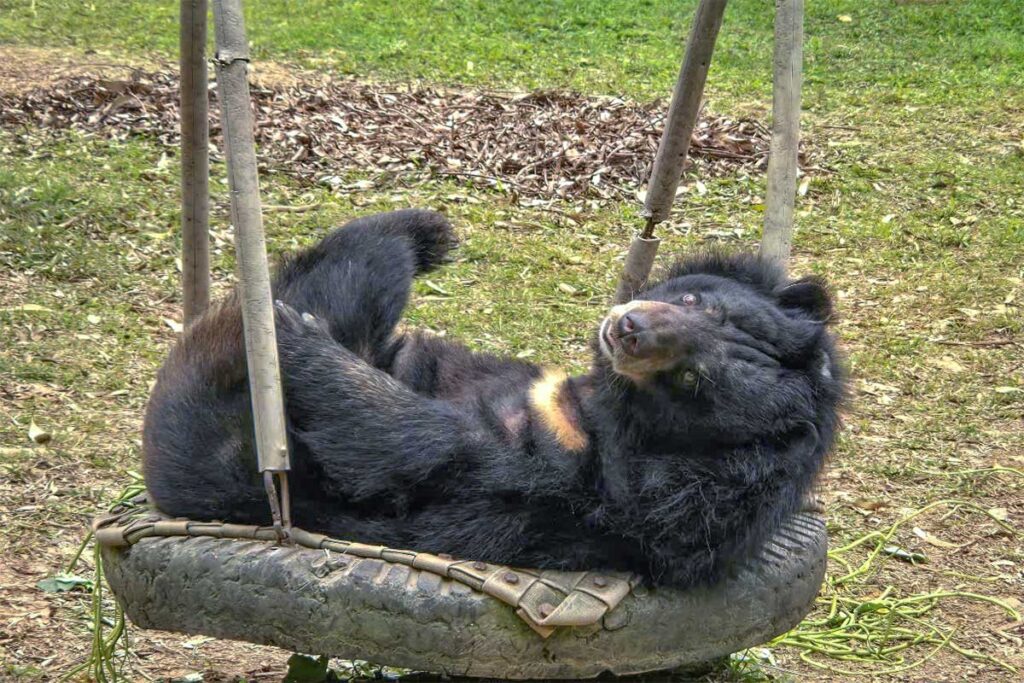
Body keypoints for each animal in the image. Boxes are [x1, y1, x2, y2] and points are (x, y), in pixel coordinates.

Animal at [142, 209, 844, 588]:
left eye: (691, 380)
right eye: (695, 300)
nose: (628, 328)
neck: (597, 406)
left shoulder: (581, 479)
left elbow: (404, 442)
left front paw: (296, 336)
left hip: (212, 410)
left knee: (358, 270)